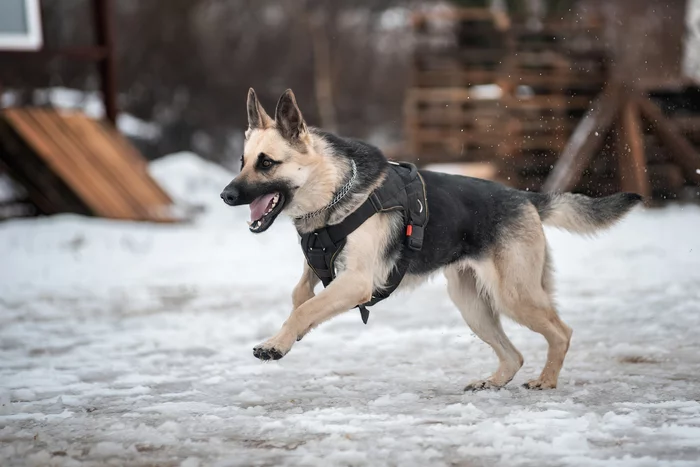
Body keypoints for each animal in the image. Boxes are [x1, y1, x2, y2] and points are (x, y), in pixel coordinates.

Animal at [221, 88, 644, 392]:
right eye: (242, 162)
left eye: (266, 163)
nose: (225, 195)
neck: (332, 191)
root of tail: (524, 196)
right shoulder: (320, 267)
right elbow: (300, 298)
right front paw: (286, 336)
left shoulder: (357, 282)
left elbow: (304, 308)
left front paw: (278, 342)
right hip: (472, 306)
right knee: (514, 355)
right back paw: (493, 382)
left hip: (514, 296)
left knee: (562, 332)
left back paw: (547, 380)